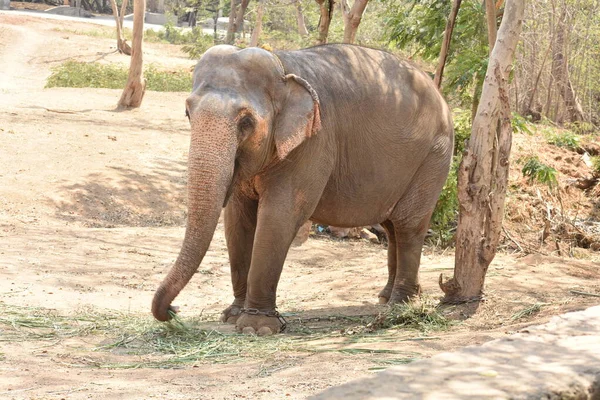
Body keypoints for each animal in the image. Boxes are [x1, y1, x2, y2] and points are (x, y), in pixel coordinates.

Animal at [151, 43, 454, 336]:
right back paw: (387, 297)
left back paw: (399, 306)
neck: (282, 66)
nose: (174, 310)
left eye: (246, 122)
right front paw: (232, 315)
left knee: (408, 225)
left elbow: (278, 216)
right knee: (392, 227)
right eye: (188, 113)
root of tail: (441, 97)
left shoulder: (314, 143)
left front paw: (256, 328)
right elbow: (238, 221)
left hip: (434, 158)